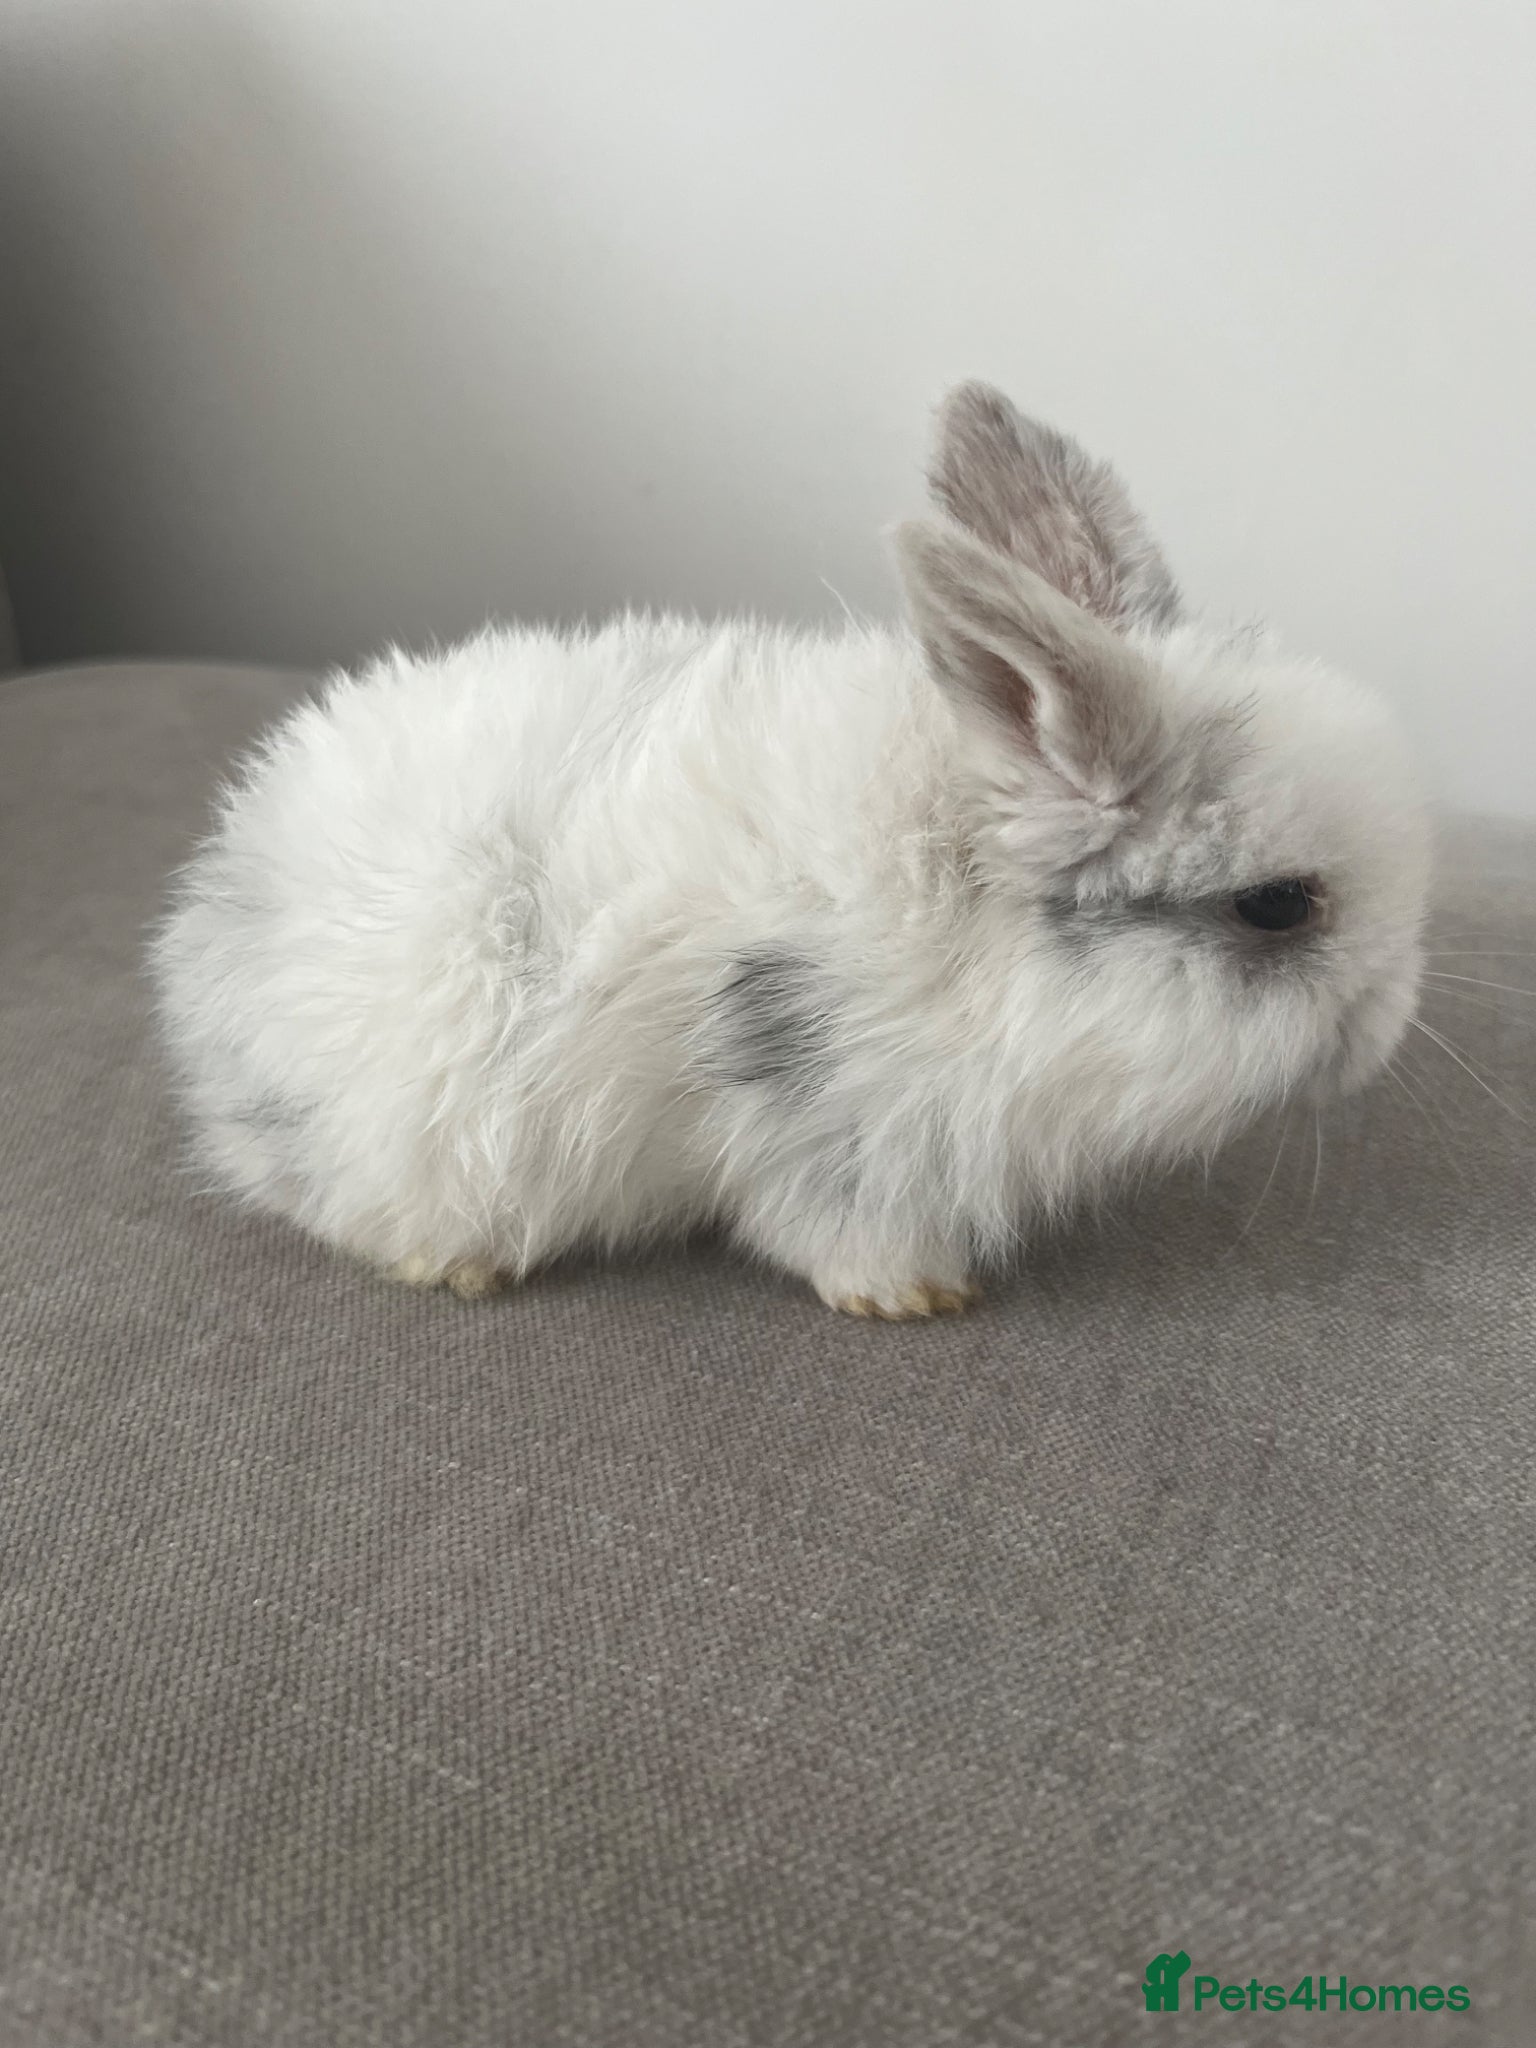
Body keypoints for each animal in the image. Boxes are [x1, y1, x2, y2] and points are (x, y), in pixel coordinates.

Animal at [152, 382, 1428, 1317]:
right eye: (1278, 903)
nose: (1386, 1029)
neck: (971, 891)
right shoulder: (835, 1125)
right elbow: (828, 1226)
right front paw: (918, 1296)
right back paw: (458, 1265)